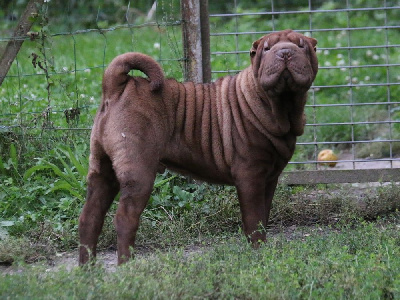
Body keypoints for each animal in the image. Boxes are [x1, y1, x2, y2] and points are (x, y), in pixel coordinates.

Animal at [79, 29, 318, 264]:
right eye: (266, 49)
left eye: (302, 46)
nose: (285, 52)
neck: (279, 106)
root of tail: (118, 86)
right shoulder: (250, 176)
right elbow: (254, 220)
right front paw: (258, 253)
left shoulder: (270, 178)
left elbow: (263, 216)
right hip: (139, 172)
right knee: (125, 218)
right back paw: (127, 266)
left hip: (102, 170)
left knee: (90, 217)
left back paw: (87, 269)